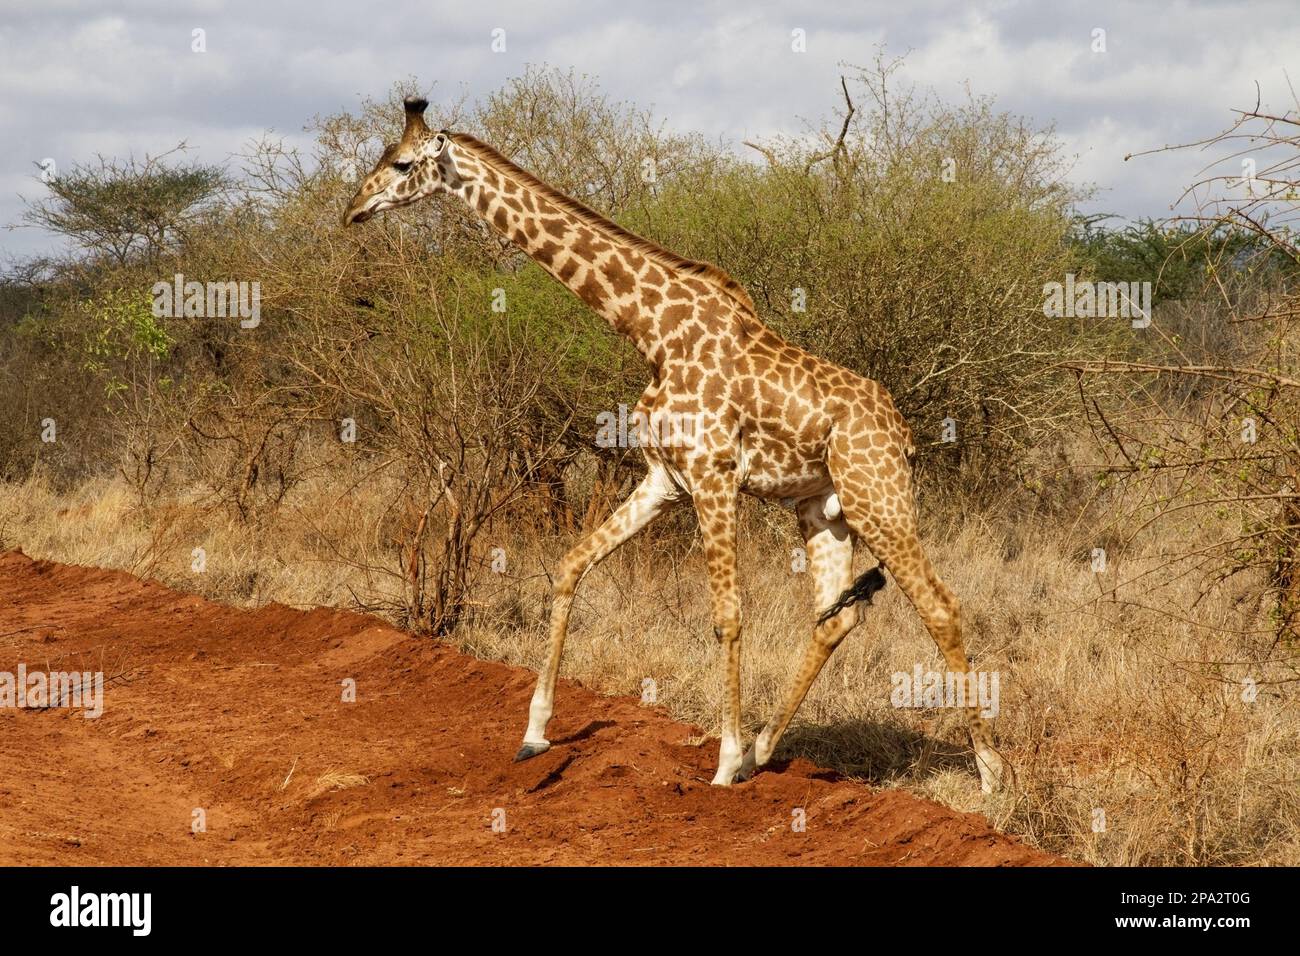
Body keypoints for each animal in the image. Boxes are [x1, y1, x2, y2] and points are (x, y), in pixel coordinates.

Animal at [345, 95, 1003, 790]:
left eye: (403, 163)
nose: (353, 208)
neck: (653, 332)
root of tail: (904, 435)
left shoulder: (714, 475)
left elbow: (727, 616)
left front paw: (721, 762)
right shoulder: (666, 480)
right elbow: (570, 566)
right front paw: (534, 734)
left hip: (879, 498)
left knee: (940, 607)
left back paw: (990, 776)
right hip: (823, 510)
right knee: (838, 617)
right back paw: (765, 752)